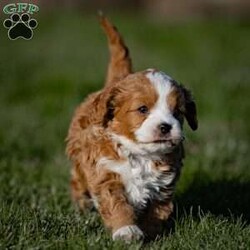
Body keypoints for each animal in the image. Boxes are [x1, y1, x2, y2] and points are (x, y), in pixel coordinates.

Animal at [65, 14, 198, 241]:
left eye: (177, 112)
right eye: (142, 109)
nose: (165, 127)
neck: (141, 154)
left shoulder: (164, 184)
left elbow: (157, 211)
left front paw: (152, 233)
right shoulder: (105, 173)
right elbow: (116, 204)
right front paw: (126, 230)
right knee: (78, 183)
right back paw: (82, 207)